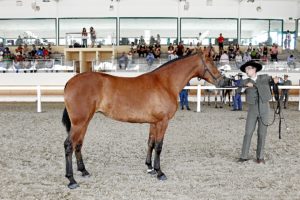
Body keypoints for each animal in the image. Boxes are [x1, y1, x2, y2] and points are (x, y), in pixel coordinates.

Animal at [62, 51, 224, 189]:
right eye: (211, 62)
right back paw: (71, 180)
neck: (165, 83)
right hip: (79, 123)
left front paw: (150, 168)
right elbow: (159, 146)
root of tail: (70, 82)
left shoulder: (154, 122)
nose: (222, 81)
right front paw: (160, 172)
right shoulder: (163, 122)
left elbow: (150, 143)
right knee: (69, 145)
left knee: (78, 144)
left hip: (84, 122)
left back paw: (84, 171)